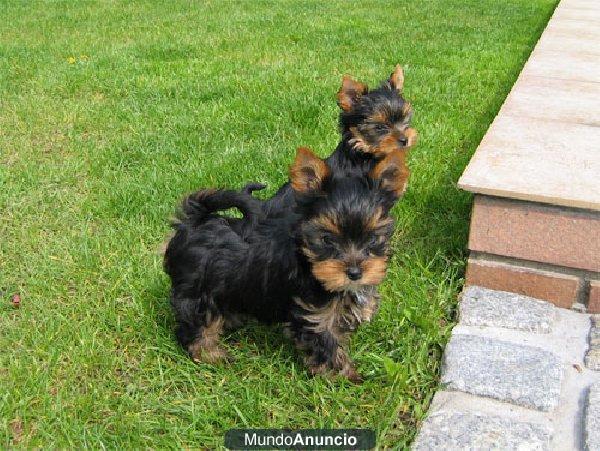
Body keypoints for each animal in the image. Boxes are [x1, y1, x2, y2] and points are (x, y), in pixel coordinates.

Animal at [164, 147, 408, 382]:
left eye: (373, 238)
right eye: (327, 240)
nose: (355, 272)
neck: (309, 263)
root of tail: (194, 222)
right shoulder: (316, 316)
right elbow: (327, 348)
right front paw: (346, 378)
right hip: (197, 291)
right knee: (196, 325)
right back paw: (210, 355)